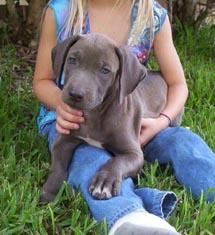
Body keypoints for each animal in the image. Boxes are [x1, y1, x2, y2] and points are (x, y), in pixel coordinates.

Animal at [40, 32, 181, 202]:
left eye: (105, 70)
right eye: (72, 60)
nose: (75, 94)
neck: (94, 113)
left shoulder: (133, 153)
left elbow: (117, 161)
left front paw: (104, 182)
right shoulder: (64, 140)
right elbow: (58, 165)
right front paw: (50, 191)